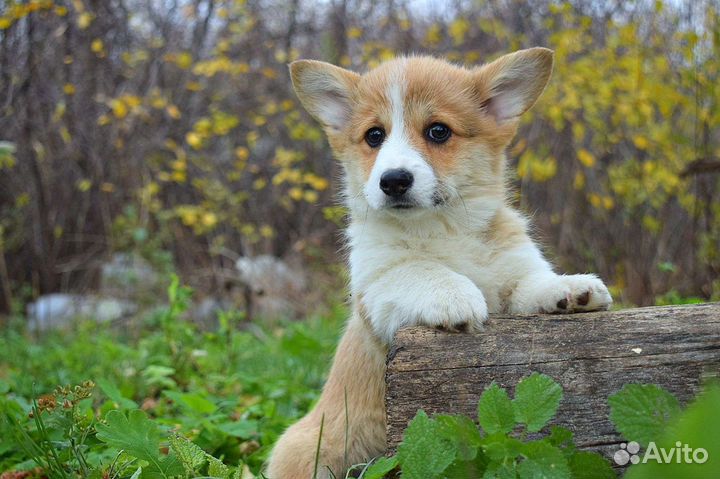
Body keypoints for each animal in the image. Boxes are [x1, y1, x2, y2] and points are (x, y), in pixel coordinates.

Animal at [266, 48, 612, 479]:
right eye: (374, 136)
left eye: (438, 131)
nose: (393, 181)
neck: (441, 226)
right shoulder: (375, 291)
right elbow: (418, 269)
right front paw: (455, 297)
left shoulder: (512, 274)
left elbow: (528, 283)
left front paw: (570, 288)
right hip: (310, 449)